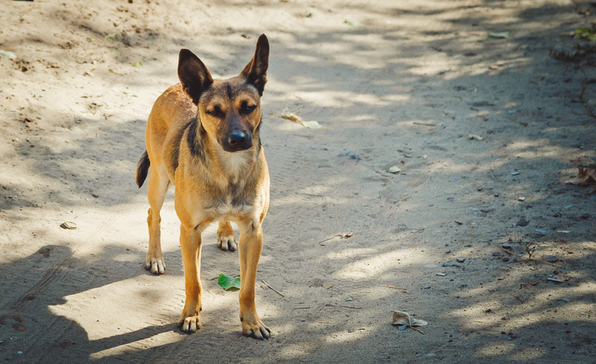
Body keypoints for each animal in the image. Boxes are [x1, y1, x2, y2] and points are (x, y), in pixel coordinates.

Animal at [134, 35, 270, 340]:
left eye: (249, 107)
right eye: (213, 112)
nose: (238, 139)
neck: (229, 169)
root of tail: (177, 86)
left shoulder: (253, 232)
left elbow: (248, 287)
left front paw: (251, 322)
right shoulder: (190, 232)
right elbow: (193, 282)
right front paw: (190, 316)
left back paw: (225, 233)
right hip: (158, 180)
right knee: (152, 215)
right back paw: (155, 256)